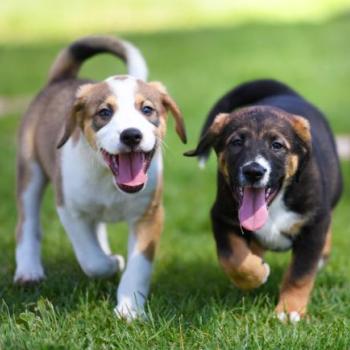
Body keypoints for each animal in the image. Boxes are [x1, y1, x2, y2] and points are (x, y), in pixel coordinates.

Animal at [14, 34, 186, 320]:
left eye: (147, 110)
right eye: (105, 113)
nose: (131, 135)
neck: (109, 180)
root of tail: (61, 80)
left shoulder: (149, 214)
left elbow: (138, 266)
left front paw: (129, 309)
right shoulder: (70, 210)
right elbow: (92, 259)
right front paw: (113, 262)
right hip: (30, 171)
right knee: (27, 224)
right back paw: (28, 271)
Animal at [186, 78, 342, 322]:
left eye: (277, 145)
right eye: (237, 142)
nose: (253, 171)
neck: (274, 206)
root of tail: (287, 93)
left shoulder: (314, 223)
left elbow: (300, 273)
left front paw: (290, 311)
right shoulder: (222, 217)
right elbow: (232, 257)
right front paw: (255, 273)